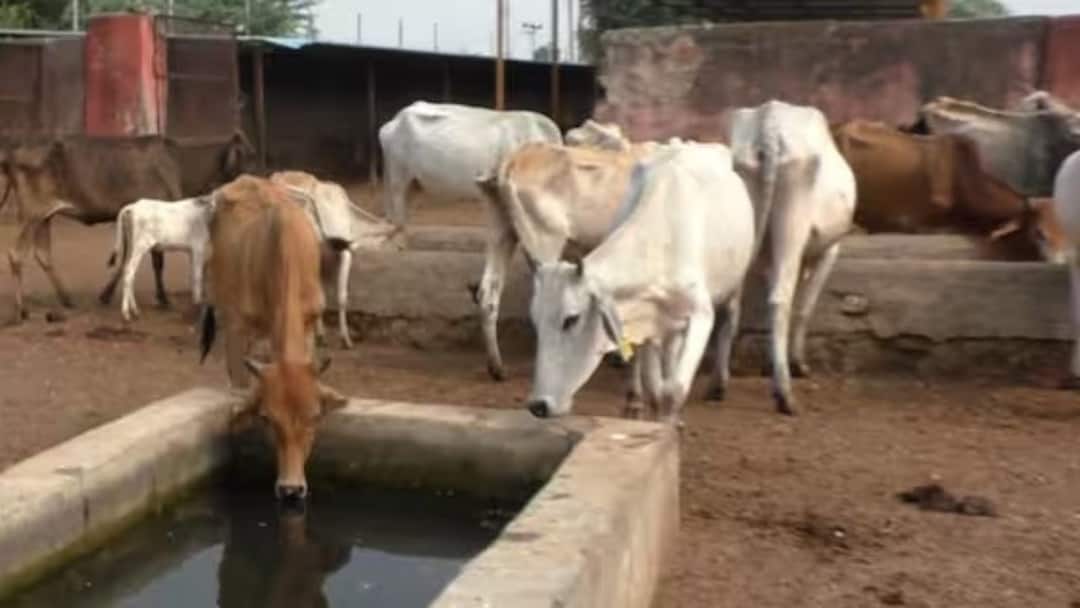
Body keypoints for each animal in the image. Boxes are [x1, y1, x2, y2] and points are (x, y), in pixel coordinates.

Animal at [1, 132, 252, 322]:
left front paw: (106, 295)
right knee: (15, 254)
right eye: (248, 157)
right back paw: (22, 310)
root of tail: (13, 153)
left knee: (43, 255)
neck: (178, 162)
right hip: (31, 214)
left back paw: (66, 299)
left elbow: (124, 260)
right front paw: (163, 299)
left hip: (45, 217)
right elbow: (154, 262)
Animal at [199, 175, 347, 501]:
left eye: (315, 417)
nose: (291, 489)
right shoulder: (237, 328)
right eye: (267, 419)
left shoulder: (309, 322)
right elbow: (240, 383)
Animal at [269, 170, 402, 349]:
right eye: (399, 244)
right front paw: (334, 337)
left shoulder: (333, 255)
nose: (402, 250)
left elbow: (329, 295)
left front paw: (330, 336)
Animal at [524, 141, 755, 425]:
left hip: (733, 289)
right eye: (535, 321)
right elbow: (656, 391)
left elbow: (673, 390)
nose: (538, 405)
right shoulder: (649, 322)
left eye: (571, 319)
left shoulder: (701, 315)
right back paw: (634, 401)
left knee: (728, 322)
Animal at [729, 100, 857, 415]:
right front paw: (798, 364)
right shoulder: (829, 251)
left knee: (738, 298)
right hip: (793, 226)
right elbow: (804, 306)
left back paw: (719, 384)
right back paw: (784, 394)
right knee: (781, 299)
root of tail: (771, 123)